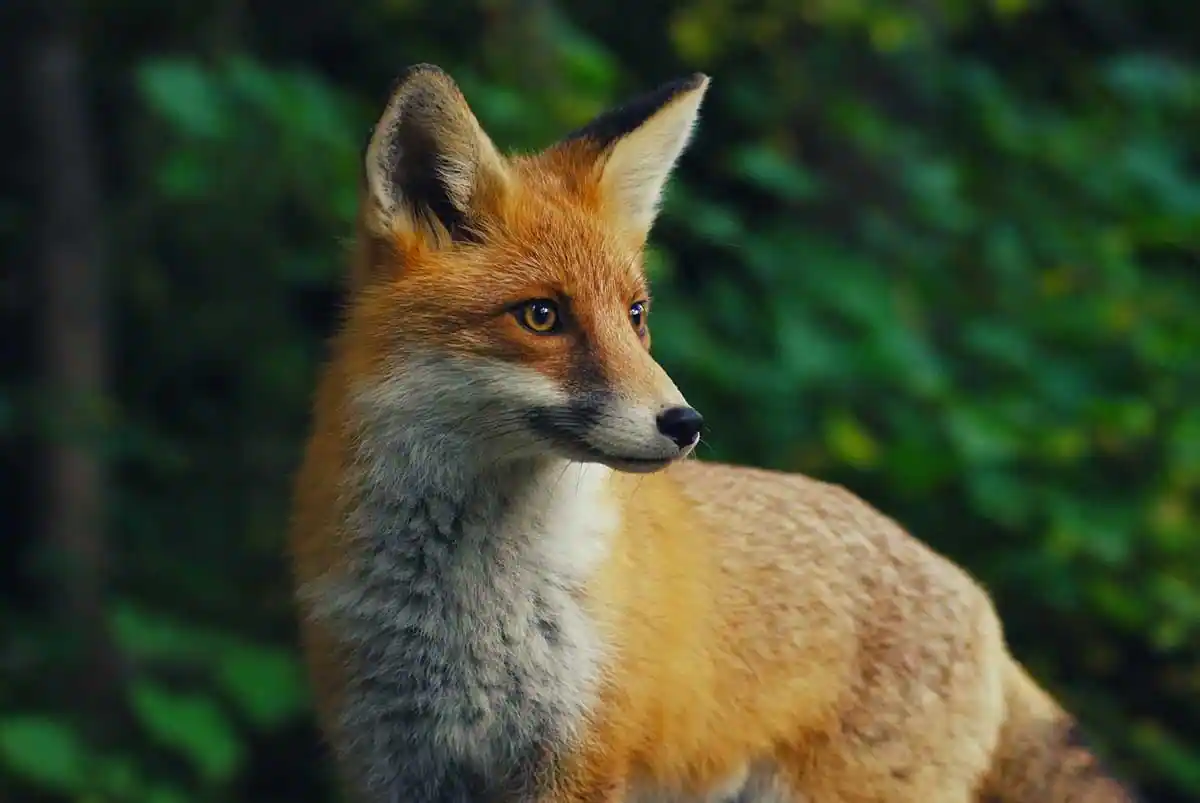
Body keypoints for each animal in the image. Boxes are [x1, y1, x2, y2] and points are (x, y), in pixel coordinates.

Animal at [287, 64, 1145, 803]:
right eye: (541, 315)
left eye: (636, 315)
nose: (685, 423)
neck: (463, 609)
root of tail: (976, 599)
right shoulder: (391, 761)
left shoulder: (581, 759)